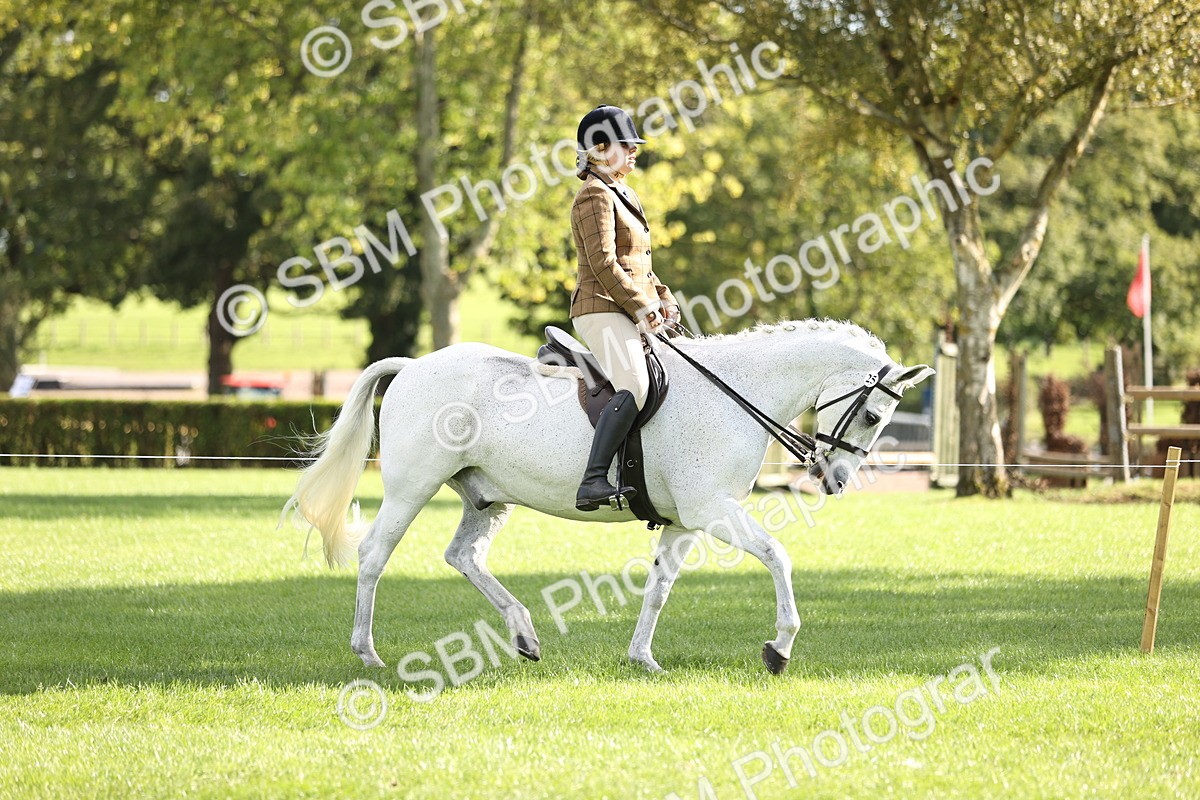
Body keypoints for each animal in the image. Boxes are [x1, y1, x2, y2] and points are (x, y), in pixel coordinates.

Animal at [282, 319, 933, 675]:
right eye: (872, 415)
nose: (835, 479)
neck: (734, 392)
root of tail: (414, 365)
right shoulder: (712, 511)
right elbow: (778, 556)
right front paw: (780, 646)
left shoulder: (685, 521)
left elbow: (659, 586)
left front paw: (643, 658)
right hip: (412, 487)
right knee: (374, 555)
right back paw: (368, 653)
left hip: (486, 495)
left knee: (464, 556)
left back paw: (525, 634)